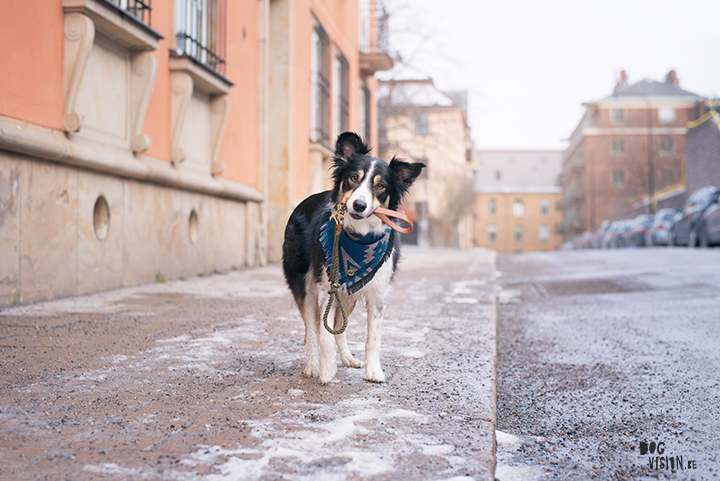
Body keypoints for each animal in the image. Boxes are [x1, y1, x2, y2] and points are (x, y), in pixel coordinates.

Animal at [282, 130, 424, 382]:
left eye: (380, 185)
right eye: (353, 178)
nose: (359, 205)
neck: (359, 235)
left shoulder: (378, 293)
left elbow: (372, 338)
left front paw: (374, 370)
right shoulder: (325, 287)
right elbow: (324, 333)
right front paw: (327, 369)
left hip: (348, 294)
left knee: (340, 326)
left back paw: (347, 358)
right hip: (304, 284)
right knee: (311, 329)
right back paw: (313, 366)